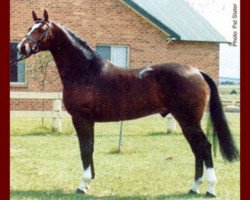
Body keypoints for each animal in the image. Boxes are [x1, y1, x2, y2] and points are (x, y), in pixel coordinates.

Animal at [15, 9, 238, 197]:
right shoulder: (89, 121)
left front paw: (82, 185)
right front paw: (88, 183)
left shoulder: (81, 119)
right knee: (197, 149)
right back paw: (193, 187)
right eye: (29, 28)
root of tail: (196, 71)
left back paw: (210, 189)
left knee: (204, 147)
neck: (86, 70)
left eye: (42, 29)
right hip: (187, 122)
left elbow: (85, 150)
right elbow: (90, 149)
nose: (21, 47)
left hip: (189, 120)